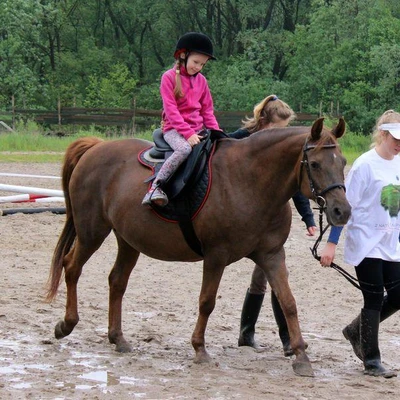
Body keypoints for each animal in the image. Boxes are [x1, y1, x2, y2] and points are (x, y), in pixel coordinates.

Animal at [47, 117, 350, 376]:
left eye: (343, 161)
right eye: (314, 164)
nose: (342, 211)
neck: (248, 180)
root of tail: (96, 147)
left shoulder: (272, 255)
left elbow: (288, 303)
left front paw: (301, 356)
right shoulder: (216, 256)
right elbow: (207, 302)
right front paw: (200, 349)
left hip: (128, 240)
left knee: (117, 281)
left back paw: (118, 338)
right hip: (92, 232)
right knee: (72, 267)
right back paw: (66, 324)